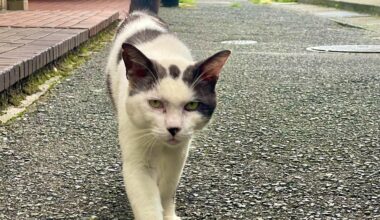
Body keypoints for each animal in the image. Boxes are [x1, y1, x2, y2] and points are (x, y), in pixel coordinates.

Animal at [104, 0, 229, 219]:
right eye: (155, 103)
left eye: (192, 105)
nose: (173, 128)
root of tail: (142, 13)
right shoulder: (137, 157)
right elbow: (147, 201)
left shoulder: (178, 155)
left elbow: (168, 188)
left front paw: (169, 214)